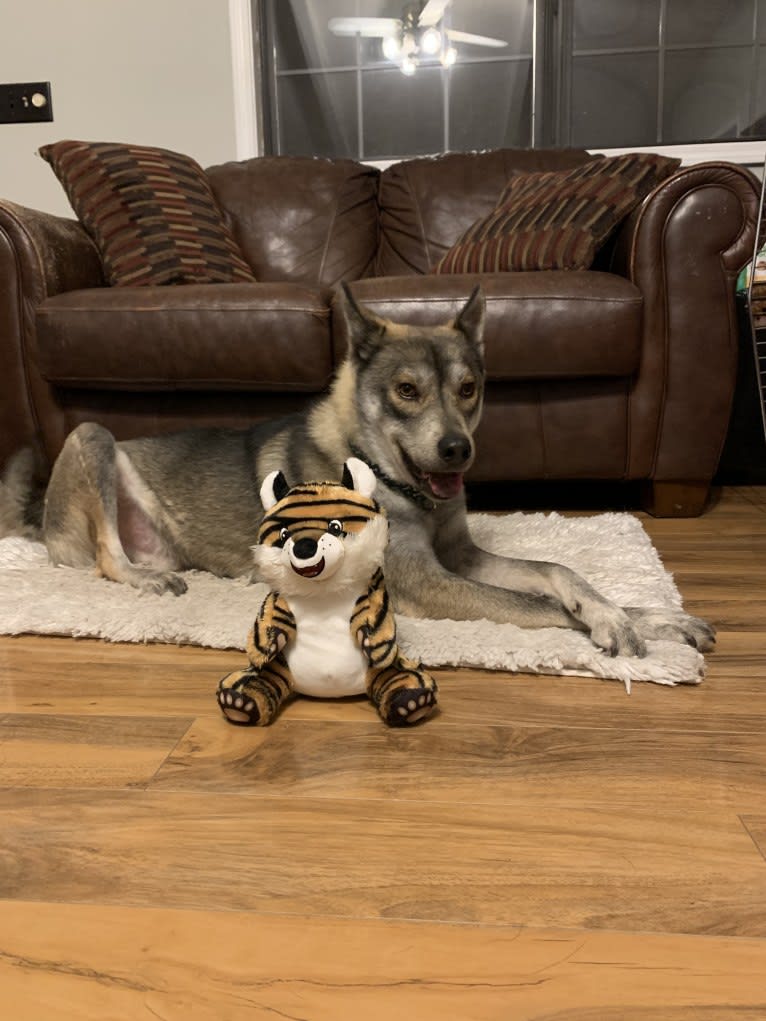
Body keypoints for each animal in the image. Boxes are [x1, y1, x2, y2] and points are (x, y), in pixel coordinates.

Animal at [4, 283, 714, 657]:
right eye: (406, 391)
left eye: (468, 389)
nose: (458, 451)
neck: (396, 483)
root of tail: (40, 521)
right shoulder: (427, 583)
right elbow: (536, 604)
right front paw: (617, 625)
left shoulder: (460, 555)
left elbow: (556, 573)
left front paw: (645, 615)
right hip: (92, 436)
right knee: (104, 558)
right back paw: (145, 580)